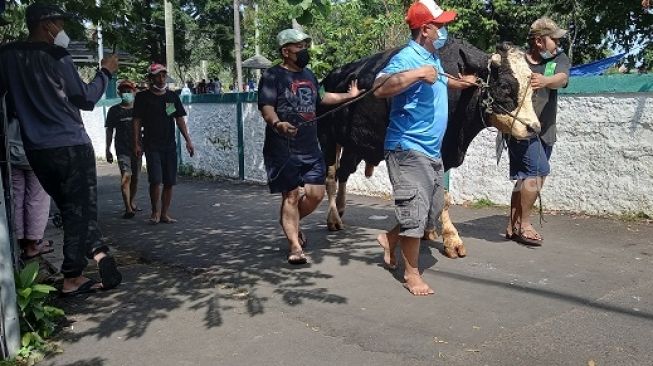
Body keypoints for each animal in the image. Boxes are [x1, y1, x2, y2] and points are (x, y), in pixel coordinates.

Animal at [318, 39, 536, 258]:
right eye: (504, 86)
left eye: (532, 89)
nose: (534, 127)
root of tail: (332, 75)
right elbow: (442, 197)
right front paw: (452, 240)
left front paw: (428, 231)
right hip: (327, 138)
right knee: (331, 177)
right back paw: (333, 219)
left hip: (354, 143)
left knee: (344, 172)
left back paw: (341, 209)